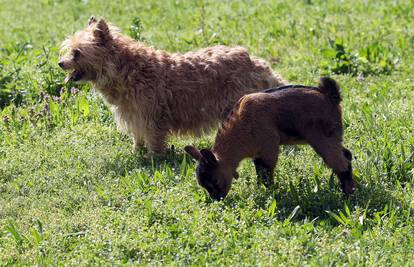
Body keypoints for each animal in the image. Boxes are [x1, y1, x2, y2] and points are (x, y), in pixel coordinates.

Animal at [59, 16, 284, 154]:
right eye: (68, 50)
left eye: (77, 53)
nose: (60, 63)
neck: (127, 69)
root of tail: (256, 62)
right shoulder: (134, 115)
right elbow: (138, 137)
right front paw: (136, 152)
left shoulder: (152, 117)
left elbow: (155, 140)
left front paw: (153, 158)